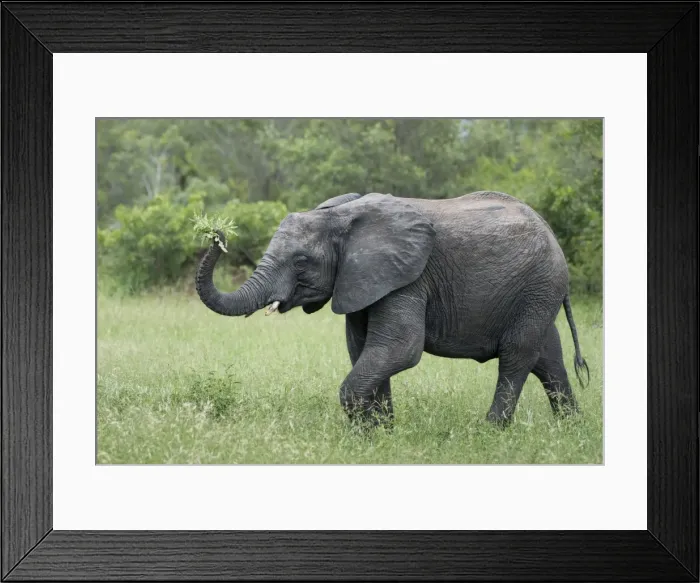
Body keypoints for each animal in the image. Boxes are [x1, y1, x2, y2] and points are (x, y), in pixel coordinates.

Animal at [195, 191, 589, 427]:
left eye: (301, 262)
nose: (217, 234)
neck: (343, 216)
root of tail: (549, 231)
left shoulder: (408, 277)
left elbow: (400, 348)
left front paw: (364, 434)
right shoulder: (361, 279)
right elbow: (363, 349)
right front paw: (381, 434)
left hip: (538, 285)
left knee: (517, 355)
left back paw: (492, 431)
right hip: (537, 292)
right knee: (547, 356)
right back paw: (569, 428)